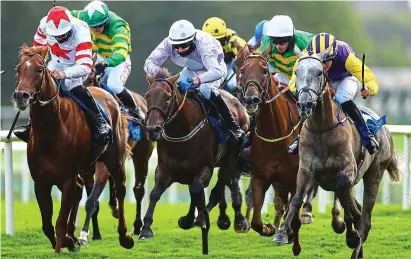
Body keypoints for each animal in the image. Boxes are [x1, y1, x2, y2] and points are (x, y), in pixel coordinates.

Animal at [12, 43, 134, 253]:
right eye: (19, 69)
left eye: (39, 69)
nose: (21, 96)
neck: (51, 130)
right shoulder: (40, 181)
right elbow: (47, 225)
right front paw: (69, 240)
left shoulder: (67, 177)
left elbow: (60, 222)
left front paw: (64, 244)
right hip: (86, 166)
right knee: (81, 189)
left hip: (114, 159)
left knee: (120, 189)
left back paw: (124, 235)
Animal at [77, 56, 154, 246]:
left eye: (91, 78)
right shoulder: (87, 166)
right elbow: (93, 198)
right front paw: (93, 233)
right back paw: (115, 208)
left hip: (142, 155)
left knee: (138, 190)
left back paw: (137, 227)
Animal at [142, 69, 251, 256]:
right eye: (147, 96)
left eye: (168, 97)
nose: (152, 130)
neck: (181, 130)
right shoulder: (164, 169)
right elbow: (155, 194)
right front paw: (146, 229)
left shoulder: (204, 168)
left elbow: (198, 190)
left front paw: (197, 219)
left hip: (231, 157)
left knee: (218, 189)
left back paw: (228, 220)